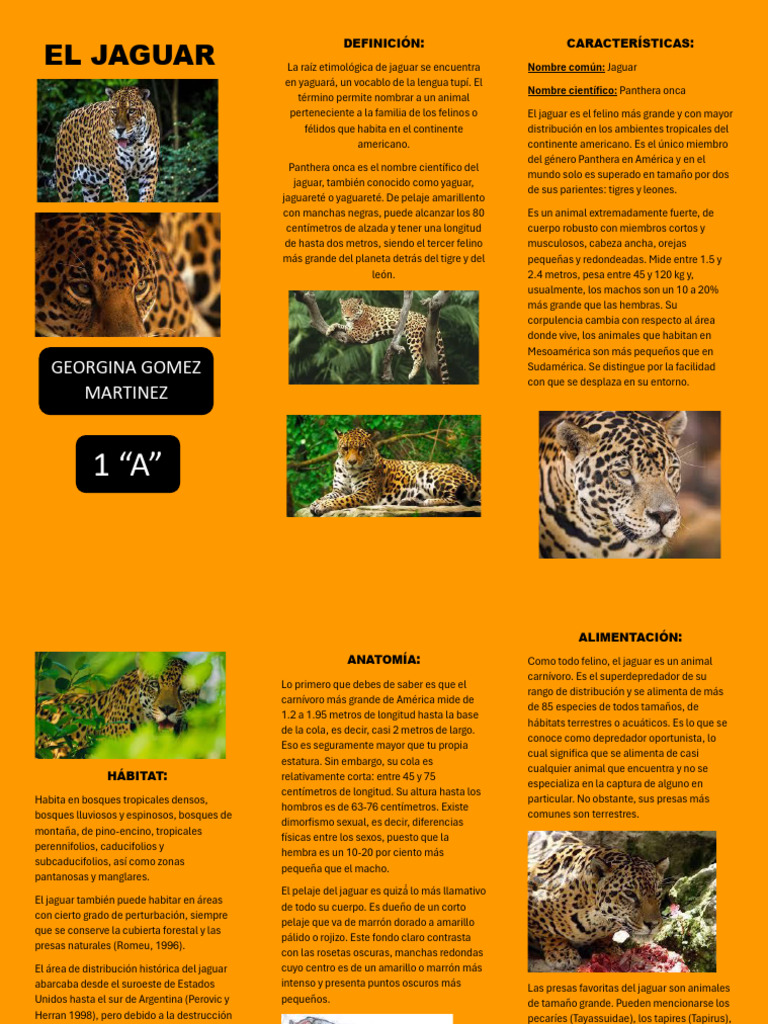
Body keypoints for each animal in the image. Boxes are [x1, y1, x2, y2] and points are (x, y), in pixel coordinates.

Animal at [309, 427, 480, 516]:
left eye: (361, 449)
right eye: (345, 448)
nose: (351, 462)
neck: (349, 472)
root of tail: (475, 477)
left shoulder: (364, 493)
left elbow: (342, 500)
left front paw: (323, 506)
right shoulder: (339, 489)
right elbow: (328, 495)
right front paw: (316, 502)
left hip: (432, 475)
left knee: (457, 500)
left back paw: (426, 502)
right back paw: (411, 501)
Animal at [528, 831, 669, 971]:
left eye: (657, 893)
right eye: (630, 894)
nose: (653, 924)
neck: (598, 920)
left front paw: (608, 948)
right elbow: (546, 933)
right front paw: (561, 953)